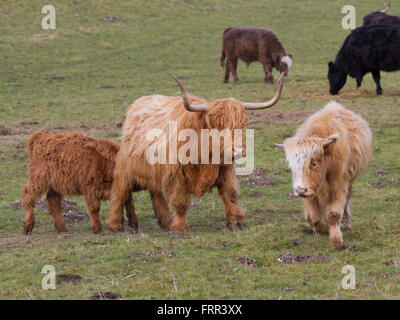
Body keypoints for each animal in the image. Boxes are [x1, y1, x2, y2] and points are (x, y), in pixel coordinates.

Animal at [276, 102, 372, 250]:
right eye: (291, 166)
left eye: (313, 164)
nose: (300, 190)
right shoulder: (310, 190)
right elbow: (313, 217)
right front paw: (323, 228)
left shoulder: (339, 184)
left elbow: (334, 213)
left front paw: (336, 239)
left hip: (350, 180)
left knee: (347, 200)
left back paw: (346, 223)